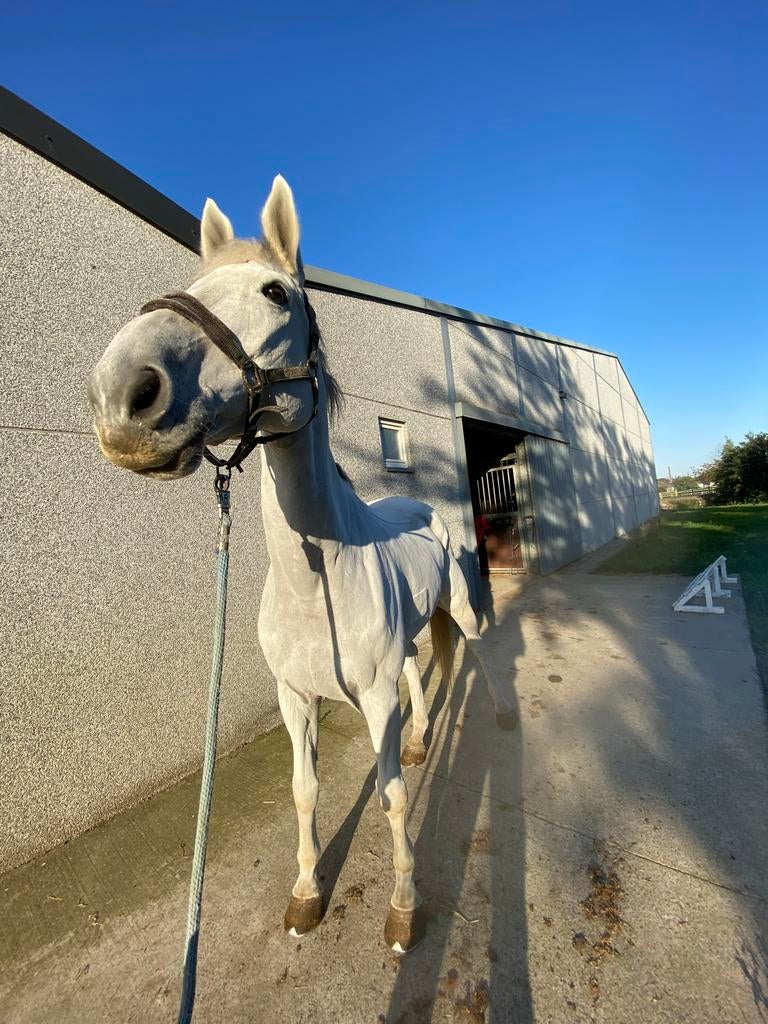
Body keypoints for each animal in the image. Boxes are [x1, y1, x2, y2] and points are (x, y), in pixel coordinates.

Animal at [88, 175, 517, 953]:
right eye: (194, 283)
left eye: (275, 293)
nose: (123, 394)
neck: (317, 580)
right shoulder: (296, 697)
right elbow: (305, 790)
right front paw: (307, 895)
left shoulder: (373, 699)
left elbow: (392, 797)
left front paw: (404, 910)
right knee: (421, 671)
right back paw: (420, 740)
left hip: (460, 608)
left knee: (477, 651)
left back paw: (499, 719)